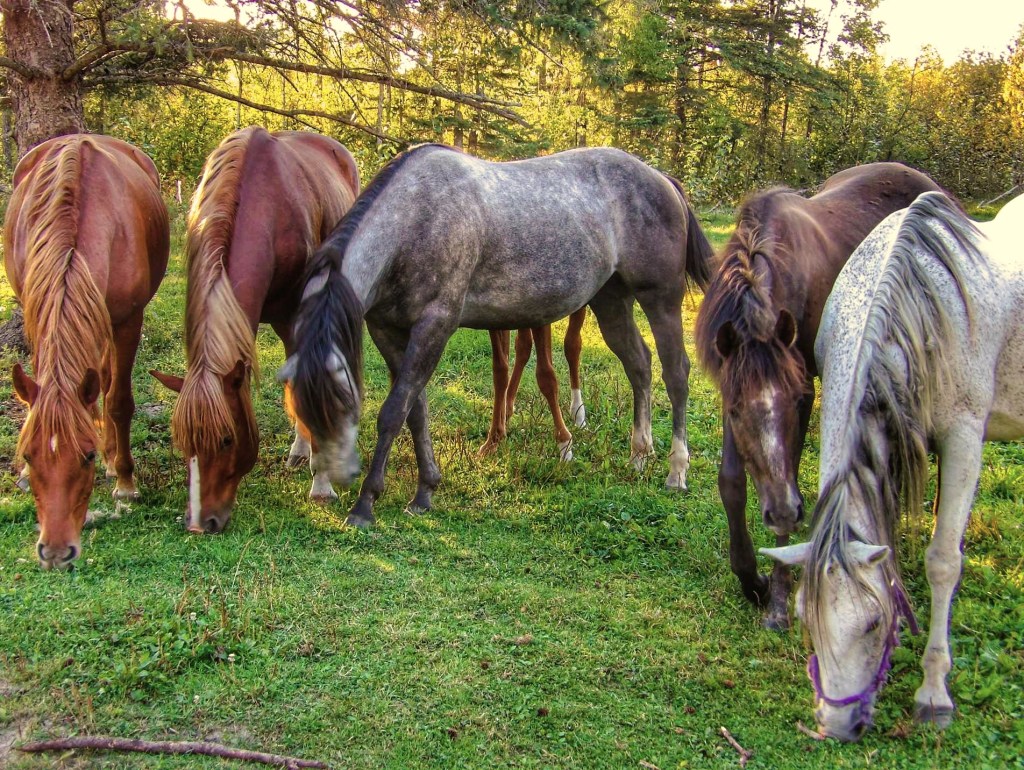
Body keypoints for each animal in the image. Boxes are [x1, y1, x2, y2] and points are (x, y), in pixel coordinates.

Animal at [4, 134, 169, 569]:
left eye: (87, 457)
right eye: (29, 454)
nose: (55, 552)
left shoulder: (128, 321)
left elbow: (119, 401)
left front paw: (124, 478)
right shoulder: (36, 312)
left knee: (106, 384)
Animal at [150, 127, 359, 534]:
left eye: (227, 439)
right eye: (183, 444)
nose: (200, 523)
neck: (263, 206)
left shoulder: (298, 314)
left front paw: (322, 483)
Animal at [481, 308, 588, 461]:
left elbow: (546, 376)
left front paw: (564, 444)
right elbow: (500, 370)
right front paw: (492, 441)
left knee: (572, 345)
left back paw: (578, 414)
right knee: (523, 345)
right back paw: (507, 408)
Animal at [694, 163, 945, 629]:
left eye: (793, 401)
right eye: (735, 410)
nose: (779, 510)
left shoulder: (808, 388)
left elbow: (789, 474)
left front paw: (777, 598)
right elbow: (732, 483)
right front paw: (751, 580)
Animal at [763, 191, 1024, 740]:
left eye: (873, 623)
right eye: (806, 620)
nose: (838, 726)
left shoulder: (964, 437)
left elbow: (943, 561)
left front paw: (934, 692)